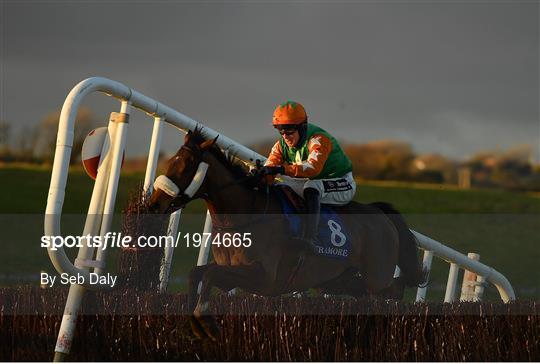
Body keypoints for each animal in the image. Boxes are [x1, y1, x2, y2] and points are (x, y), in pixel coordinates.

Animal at [148, 129, 426, 342]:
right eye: (170, 162)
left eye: (184, 165)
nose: (153, 204)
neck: (247, 213)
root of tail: (379, 211)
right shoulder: (233, 272)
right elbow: (197, 273)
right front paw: (192, 325)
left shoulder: (264, 277)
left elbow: (209, 274)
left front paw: (205, 322)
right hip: (336, 279)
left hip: (376, 274)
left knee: (393, 288)